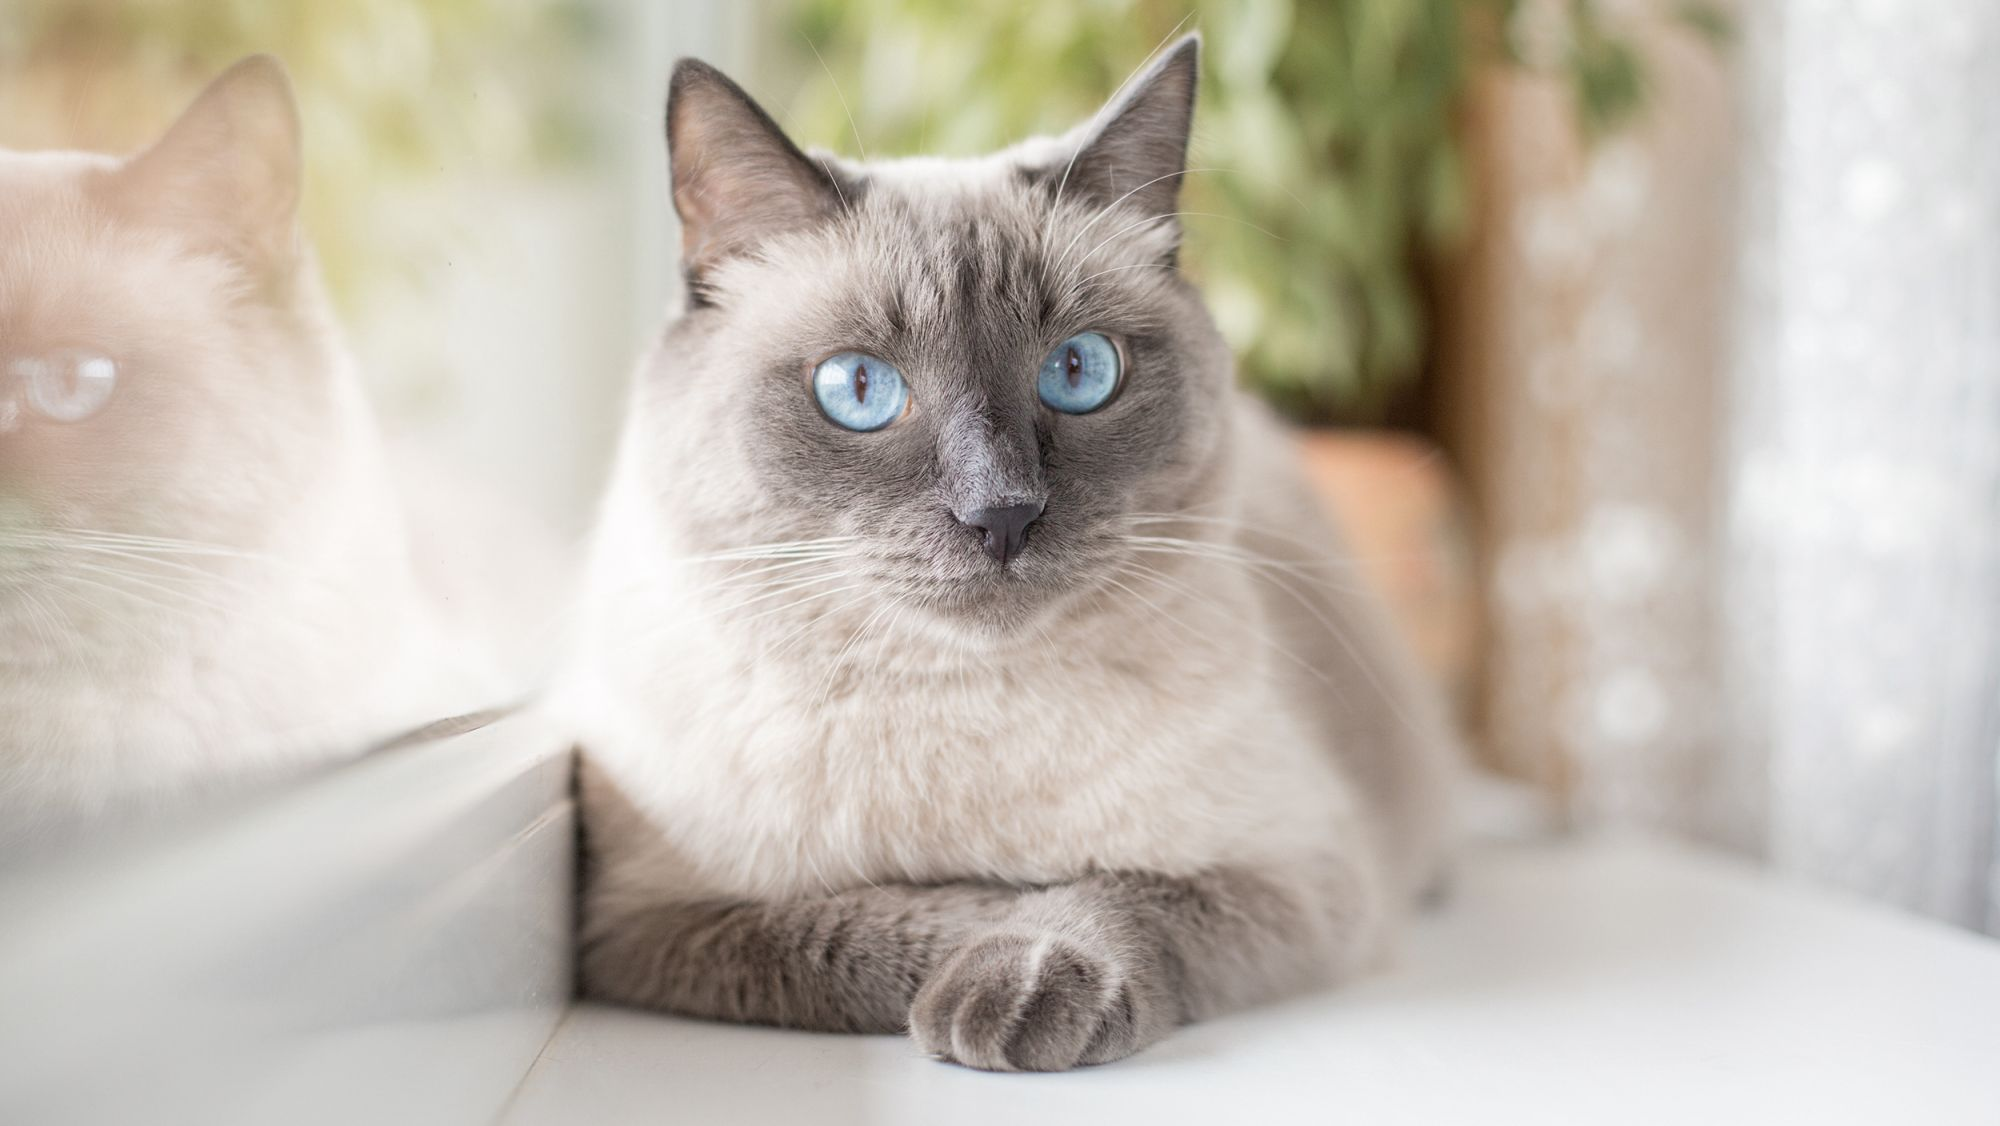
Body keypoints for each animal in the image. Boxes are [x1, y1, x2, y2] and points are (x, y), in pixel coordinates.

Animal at [556, 37, 1464, 1072]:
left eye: (1078, 371)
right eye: (858, 388)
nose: (1001, 514)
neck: (955, 698)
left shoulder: (1300, 873)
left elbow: (1111, 888)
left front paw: (1016, 982)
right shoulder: (647, 924)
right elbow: (876, 921)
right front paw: (979, 938)